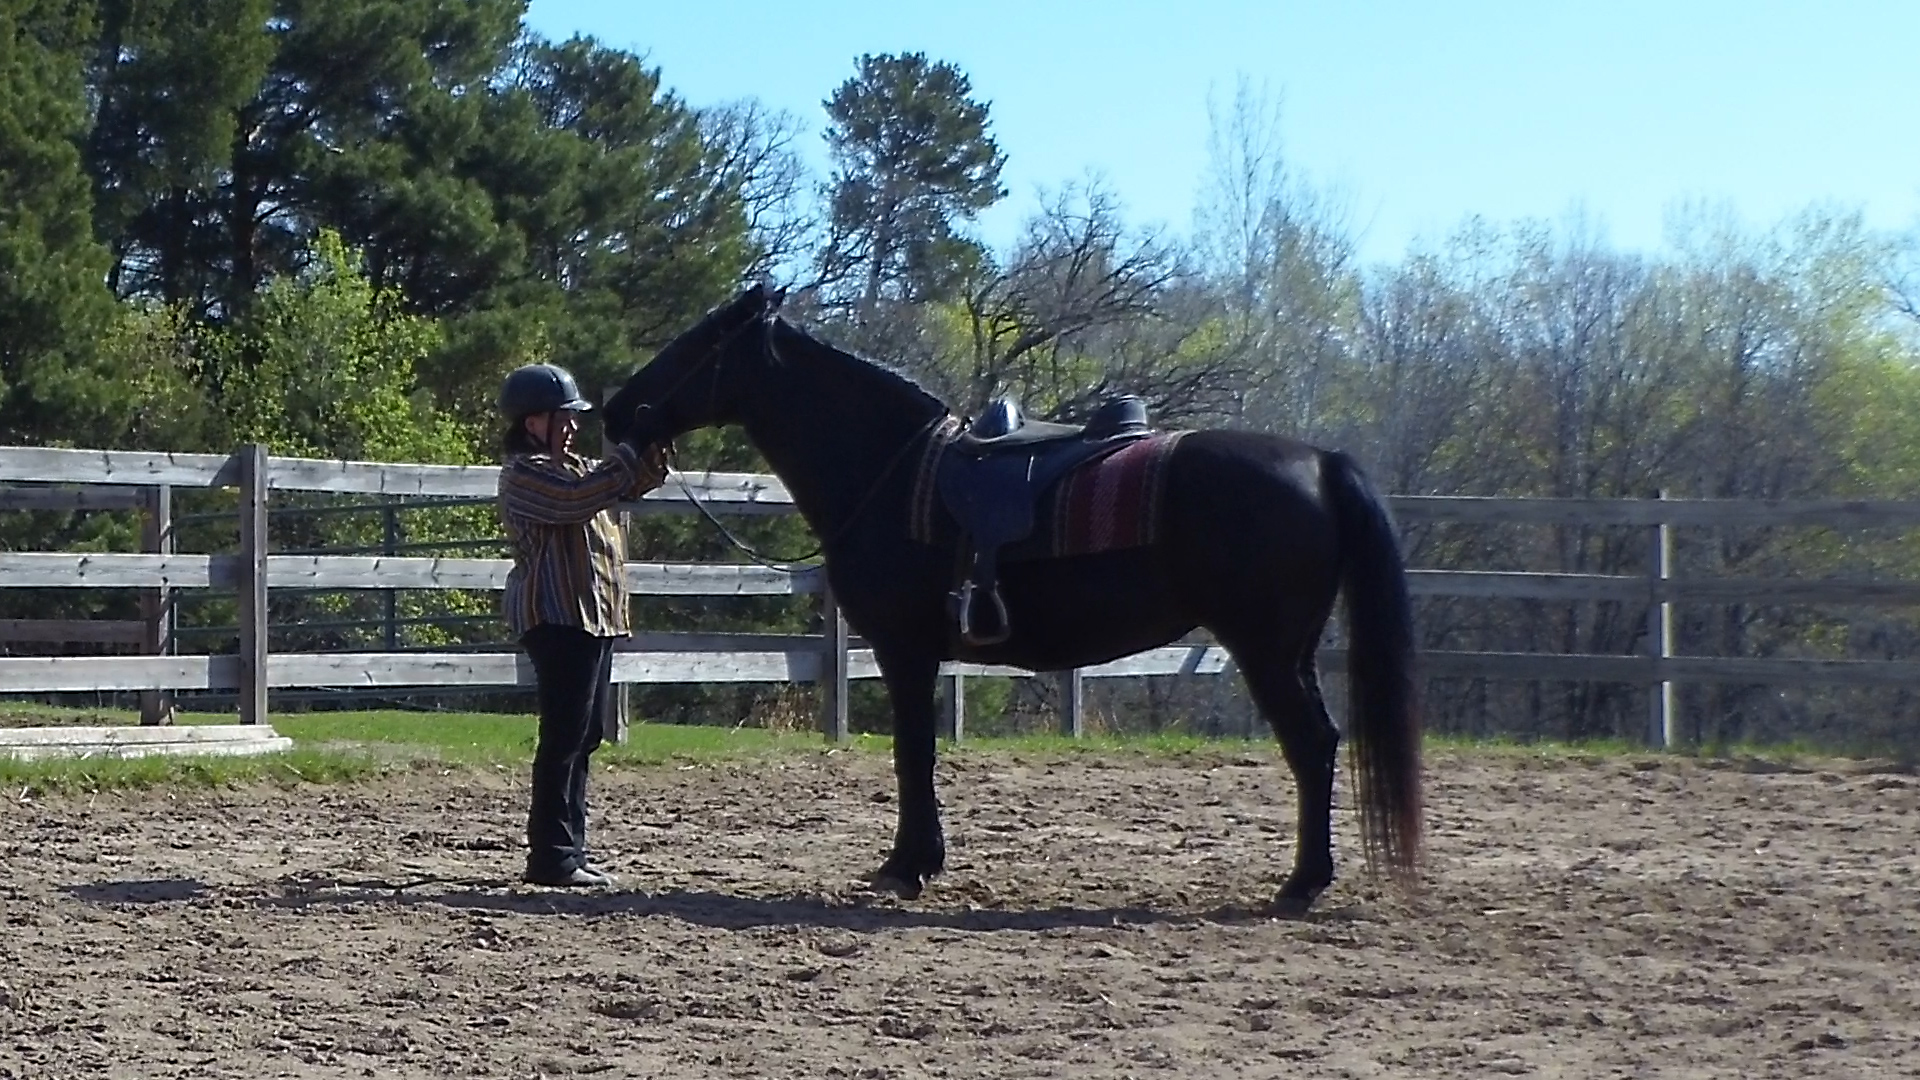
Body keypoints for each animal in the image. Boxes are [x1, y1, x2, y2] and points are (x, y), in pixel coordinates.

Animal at [604, 282, 1423, 914]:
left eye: (699, 342)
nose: (616, 408)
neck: (891, 469)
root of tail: (1319, 463)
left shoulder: (903, 650)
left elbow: (912, 753)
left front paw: (908, 865)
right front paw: (919, 860)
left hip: (1266, 651)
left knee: (1311, 746)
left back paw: (1302, 884)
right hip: (1291, 652)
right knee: (1320, 745)